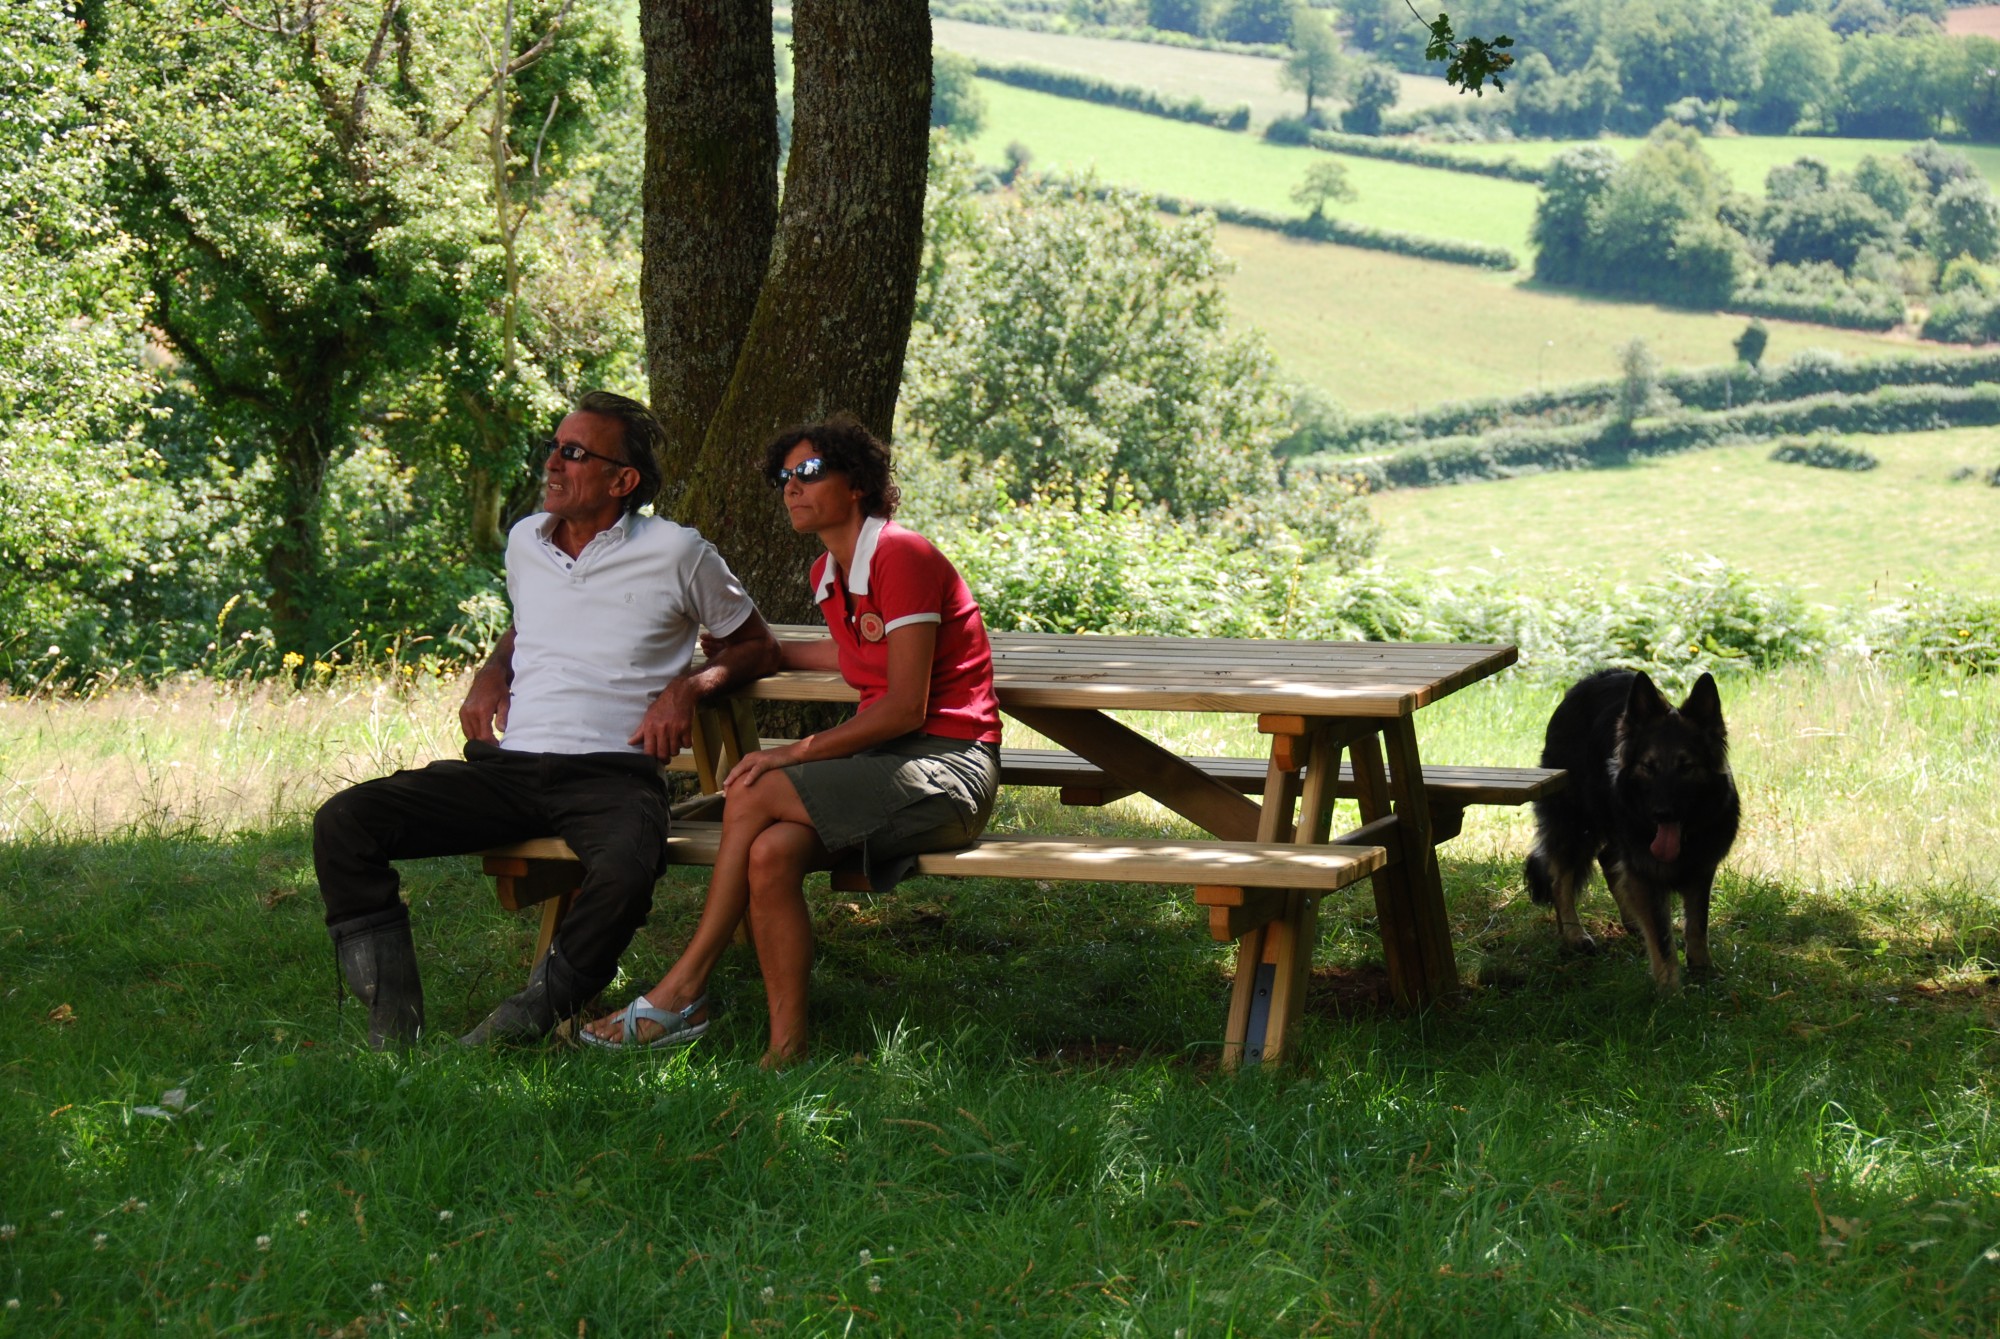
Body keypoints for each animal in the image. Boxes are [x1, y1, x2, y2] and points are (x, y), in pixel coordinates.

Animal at [1520, 667, 1744, 991]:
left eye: (1686, 767)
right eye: (1649, 766)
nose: (1662, 814)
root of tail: (1589, 679)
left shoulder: (1701, 869)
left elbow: (1697, 925)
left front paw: (1703, 971)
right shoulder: (1645, 870)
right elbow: (1662, 939)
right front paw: (1671, 992)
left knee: (1605, 861)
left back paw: (1631, 923)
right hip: (1575, 825)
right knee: (1560, 877)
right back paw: (1575, 935)